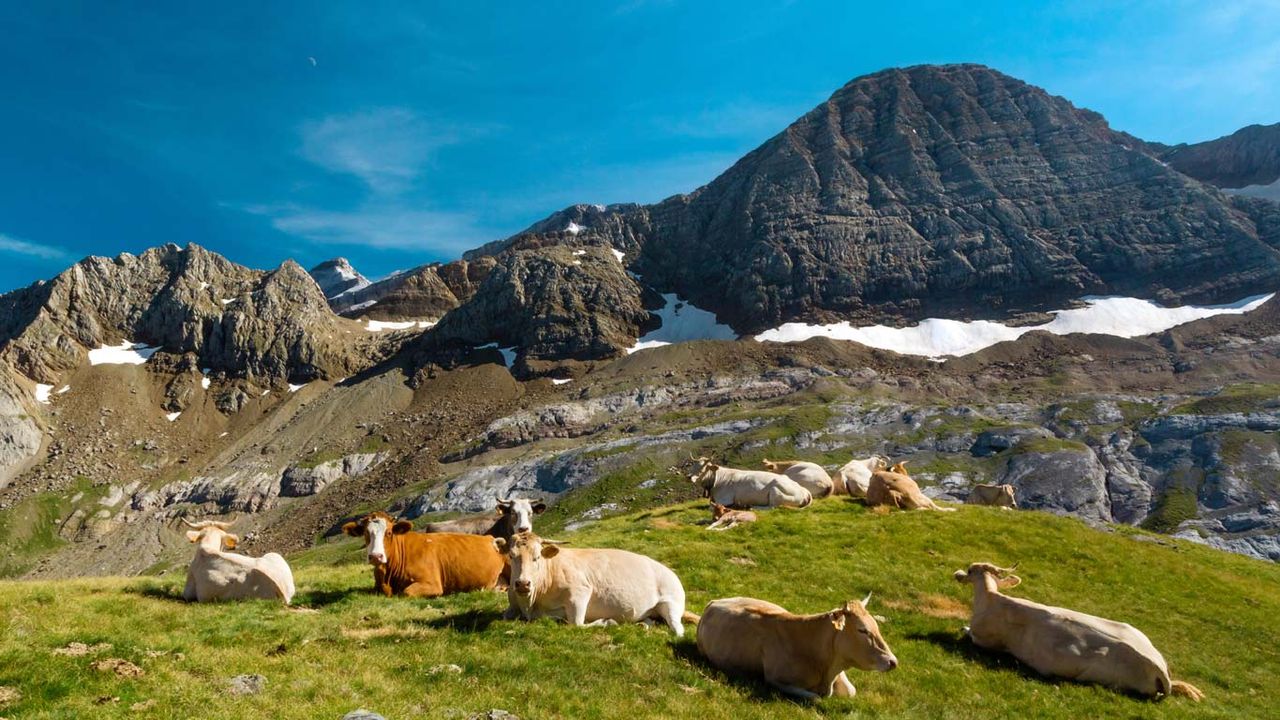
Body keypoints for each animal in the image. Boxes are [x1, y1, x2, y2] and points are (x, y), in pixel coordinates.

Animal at [342, 511, 505, 597]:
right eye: (366, 533)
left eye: (389, 533)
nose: (376, 556)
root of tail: (490, 538)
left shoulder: (432, 583)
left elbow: (406, 592)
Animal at [493, 531, 688, 635]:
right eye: (511, 556)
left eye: (537, 557)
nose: (523, 584)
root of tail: (670, 572)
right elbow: (505, 615)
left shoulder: (580, 592)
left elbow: (577, 624)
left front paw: (607, 622)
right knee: (649, 619)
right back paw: (642, 624)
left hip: (671, 601)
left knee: (677, 629)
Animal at [694, 594, 898, 699]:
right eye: (862, 630)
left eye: (876, 626)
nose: (893, 661)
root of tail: (714, 602)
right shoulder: (775, 679)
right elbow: (815, 697)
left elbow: (851, 691)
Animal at [954, 563, 1204, 700]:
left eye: (969, 569)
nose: (957, 574)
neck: (990, 599)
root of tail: (1161, 670)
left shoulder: (983, 640)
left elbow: (967, 631)